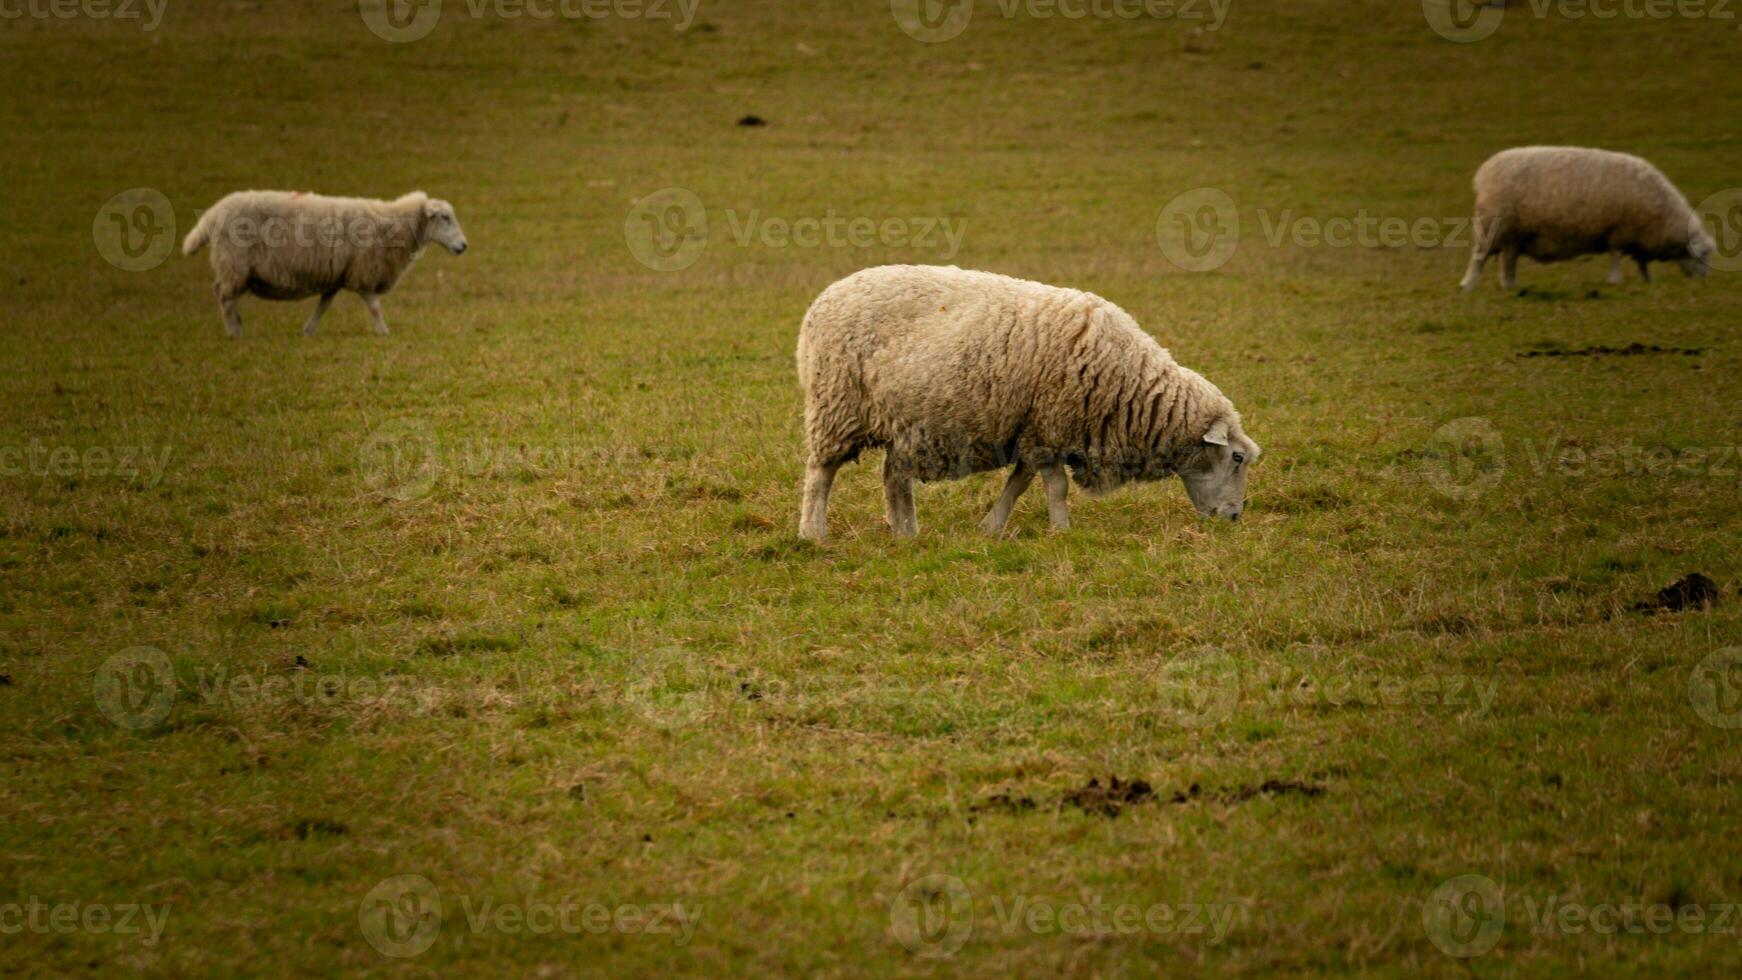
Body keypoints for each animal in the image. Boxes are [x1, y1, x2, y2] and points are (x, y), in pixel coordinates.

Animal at [183, 189, 470, 339]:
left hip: (234, 267)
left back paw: (238, 326)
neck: (393, 224)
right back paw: (234, 332)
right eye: (445, 217)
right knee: (224, 297)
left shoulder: (338, 274)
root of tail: (212, 214)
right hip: (234, 264)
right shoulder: (363, 272)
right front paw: (383, 331)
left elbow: (324, 304)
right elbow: (374, 306)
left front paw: (309, 330)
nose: (464, 246)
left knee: (225, 296)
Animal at [797, 264, 1261, 539]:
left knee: (894, 477)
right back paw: (813, 532)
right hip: (837, 405)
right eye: (1236, 458)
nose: (1235, 518)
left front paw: (991, 526)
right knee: (821, 474)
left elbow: (1019, 482)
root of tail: (822, 300)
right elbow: (1055, 487)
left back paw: (906, 532)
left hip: (905, 422)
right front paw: (1062, 530)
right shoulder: (1051, 425)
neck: (1129, 386)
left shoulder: (1033, 429)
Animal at [1456, 145, 1714, 290]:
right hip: (1495, 226)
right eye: (1703, 256)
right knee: (1479, 259)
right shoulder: (1620, 230)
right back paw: (1468, 285)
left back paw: (1509, 285)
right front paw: (1615, 280)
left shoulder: (1637, 237)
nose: (1704, 280)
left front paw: (1648, 280)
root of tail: (1484, 173)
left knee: (1508, 261)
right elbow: (1616, 255)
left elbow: (1641, 262)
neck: (1666, 215)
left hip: (1513, 235)